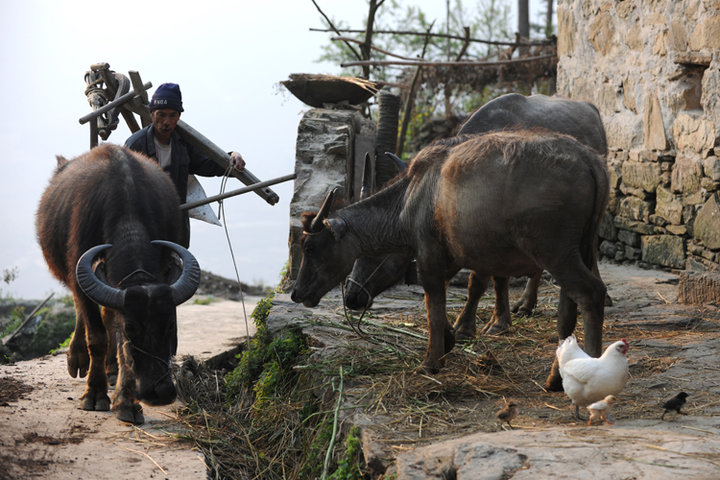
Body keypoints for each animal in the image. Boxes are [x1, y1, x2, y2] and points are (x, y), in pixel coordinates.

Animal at [36, 143, 200, 424]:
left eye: (170, 325)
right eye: (132, 328)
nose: (161, 392)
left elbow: (120, 343)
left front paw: (126, 402)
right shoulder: (81, 278)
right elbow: (99, 337)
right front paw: (95, 394)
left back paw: (110, 369)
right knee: (83, 313)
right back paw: (78, 359)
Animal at [292, 129, 608, 388]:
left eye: (310, 248)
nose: (297, 292)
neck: (413, 199)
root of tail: (588, 160)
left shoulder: (429, 257)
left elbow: (433, 305)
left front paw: (432, 360)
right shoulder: (450, 258)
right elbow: (439, 302)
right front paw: (449, 339)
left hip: (555, 253)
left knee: (591, 294)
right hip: (581, 250)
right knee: (568, 308)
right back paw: (556, 377)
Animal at [344, 94, 608, 338]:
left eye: (378, 246)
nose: (351, 296)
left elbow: (477, 282)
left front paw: (465, 326)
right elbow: (498, 279)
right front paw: (498, 320)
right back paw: (526, 304)